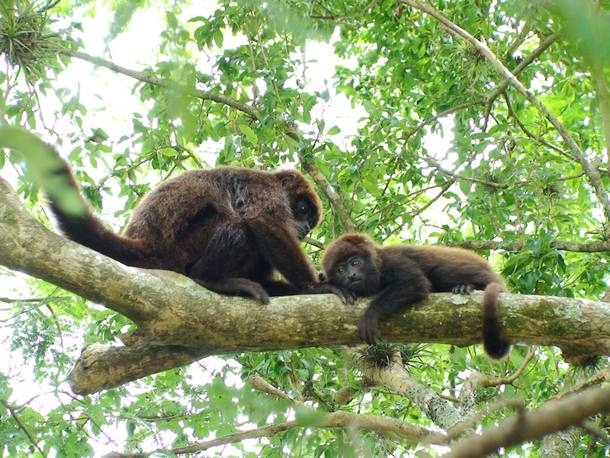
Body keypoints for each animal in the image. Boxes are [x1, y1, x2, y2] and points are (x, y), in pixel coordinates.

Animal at [48, 158, 346, 304]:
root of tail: (145, 244)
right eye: (303, 209)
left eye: (310, 221)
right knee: (238, 226)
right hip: (181, 249)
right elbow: (263, 222)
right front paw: (315, 287)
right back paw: (211, 279)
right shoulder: (263, 189)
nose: (305, 228)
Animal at [324, 233, 508, 358]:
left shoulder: (392, 260)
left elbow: (416, 282)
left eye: (355, 262)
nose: (351, 275)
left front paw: (370, 315)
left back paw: (466, 286)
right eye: (341, 269)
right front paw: (334, 288)